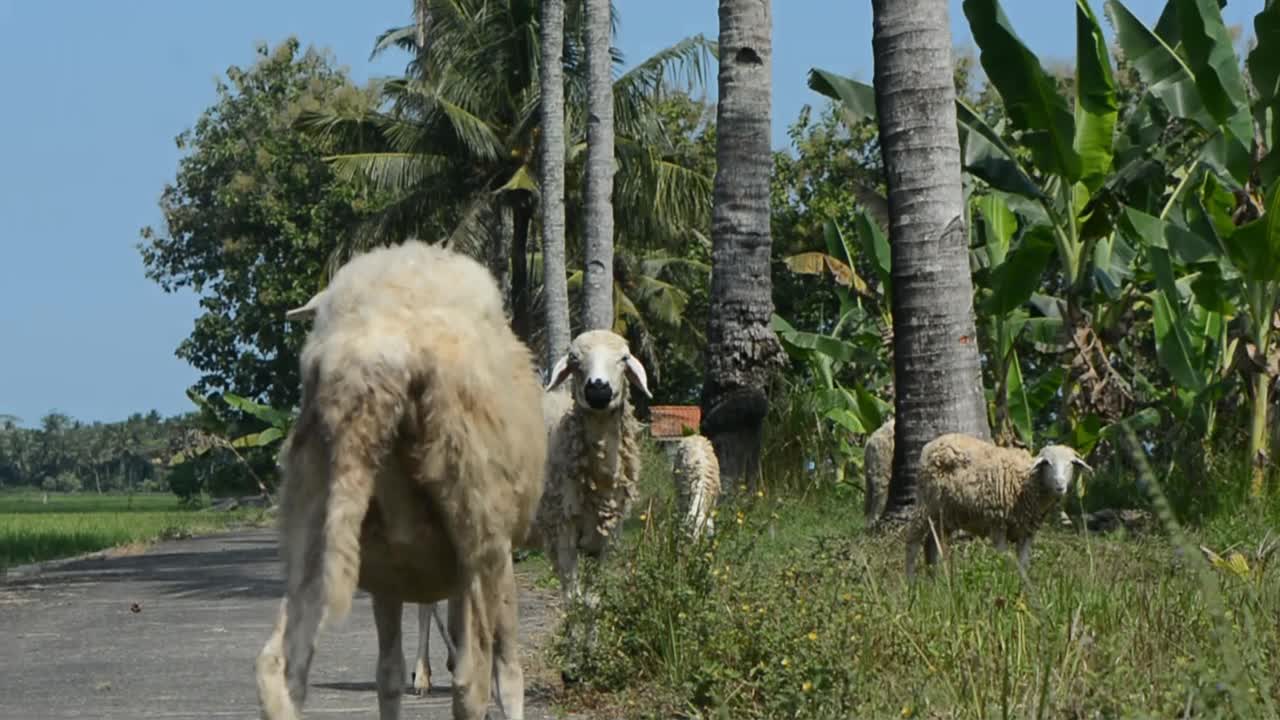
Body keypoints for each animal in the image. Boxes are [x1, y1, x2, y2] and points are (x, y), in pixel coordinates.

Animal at [257, 240, 542, 717]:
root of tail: (368, 365)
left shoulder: (387, 577)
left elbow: (389, 673)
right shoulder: (484, 560)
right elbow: (501, 671)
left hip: (316, 526)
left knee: (278, 668)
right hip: (480, 532)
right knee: (478, 679)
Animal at [906, 430, 1095, 576]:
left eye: (1071, 463)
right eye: (1047, 463)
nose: (1060, 485)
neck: (1026, 484)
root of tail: (932, 443)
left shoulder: (1027, 531)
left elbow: (1022, 565)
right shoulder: (998, 525)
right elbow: (1004, 561)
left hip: (946, 514)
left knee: (931, 544)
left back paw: (937, 583)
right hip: (926, 502)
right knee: (913, 541)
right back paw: (911, 584)